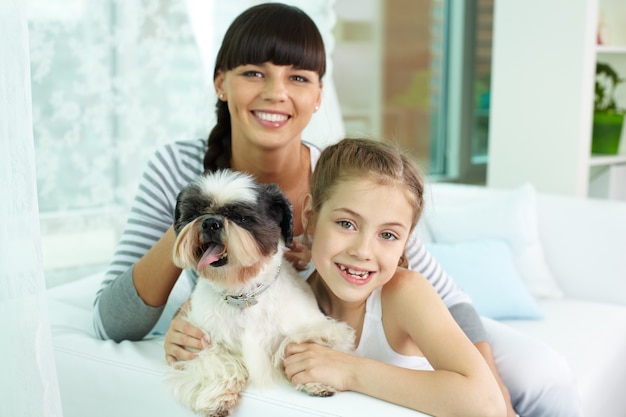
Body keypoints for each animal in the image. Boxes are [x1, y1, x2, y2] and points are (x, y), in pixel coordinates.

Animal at [163, 169, 354, 416]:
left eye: (242, 218)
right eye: (195, 214)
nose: (210, 222)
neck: (244, 296)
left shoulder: (313, 325)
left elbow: (304, 344)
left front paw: (316, 381)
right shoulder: (199, 341)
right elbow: (216, 363)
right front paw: (217, 398)